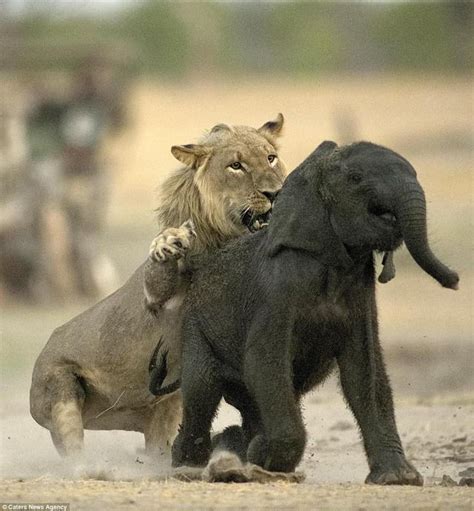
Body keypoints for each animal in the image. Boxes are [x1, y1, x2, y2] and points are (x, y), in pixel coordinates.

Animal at [31, 115, 286, 460]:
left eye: (271, 158)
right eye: (236, 166)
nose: (275, 193)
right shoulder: (156, 302)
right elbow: (157, 275)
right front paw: (168, 242)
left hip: (162, 411)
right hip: (59, 390)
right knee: (72, 446)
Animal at [171, 139, 460, 484]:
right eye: (355, 179)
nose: (455, 281)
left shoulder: (361, 294)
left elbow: (365, 371)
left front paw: (398, 479)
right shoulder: (278, 288)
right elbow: (264, 359)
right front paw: (264, 458)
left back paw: (238, 447)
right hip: (195, 328)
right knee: (202, 390)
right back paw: (190, 465)